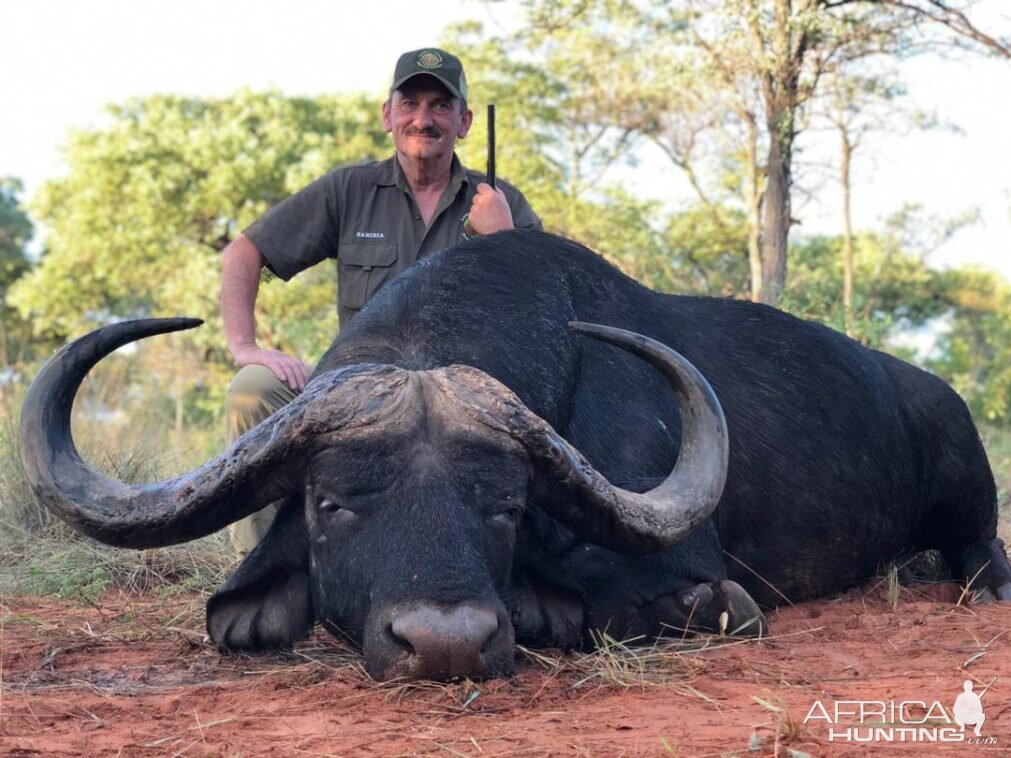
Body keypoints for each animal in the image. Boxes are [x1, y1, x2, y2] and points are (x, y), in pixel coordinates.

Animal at [17, 231, 1011, 683]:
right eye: (331, 505)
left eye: (504, 508)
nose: (445, 644)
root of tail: (926, 389)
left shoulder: (696, 575)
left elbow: (667, 602)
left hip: (967, 484)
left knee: (978, 547)